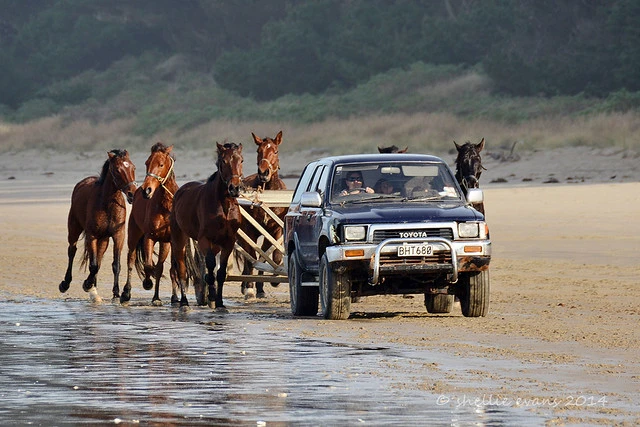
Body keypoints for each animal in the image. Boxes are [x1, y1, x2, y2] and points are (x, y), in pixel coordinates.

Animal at [57, 149, 138, 302]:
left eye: (133, 167)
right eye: (117, 170)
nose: (132, 193)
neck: (107, 204)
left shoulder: (118, 235)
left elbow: (115, 264)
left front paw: (116, 293)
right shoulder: (92, 235)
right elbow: (93, 265)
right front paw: (87, 284)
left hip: (103, 239)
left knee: (98, 258)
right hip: (74, 229)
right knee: (72, 251)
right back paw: (66, 284)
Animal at [120, 142, 179, 306]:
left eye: (161, 164)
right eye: (147, 163)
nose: (146, 190)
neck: (165, 205)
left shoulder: (168, 241)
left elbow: (162, 268)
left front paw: (161, 297)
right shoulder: (149, 237)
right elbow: (148, 265)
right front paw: (148, 283)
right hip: (133, 236)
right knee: (131, 259)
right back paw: (126, 293)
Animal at [169, 141, 244, 310]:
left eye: (241, 160)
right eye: (223, 161)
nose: (234, 188)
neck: (223, 206)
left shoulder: (228, 242)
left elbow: (221, 273)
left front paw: (220, 302)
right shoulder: (204, 240)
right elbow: (210, 266)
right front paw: (211, 296)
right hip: (179, 240)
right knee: (181, 269)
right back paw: (184, 302)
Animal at [236, 130, 286, 298]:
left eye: (275, 151)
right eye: (259, 151)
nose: (264, 173)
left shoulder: (276, 230)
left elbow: (274, 255)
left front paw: (274, 279)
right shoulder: (250, 230)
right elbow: (251, 256)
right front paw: (249, 288)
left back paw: (260, 288)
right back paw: (246, 285)